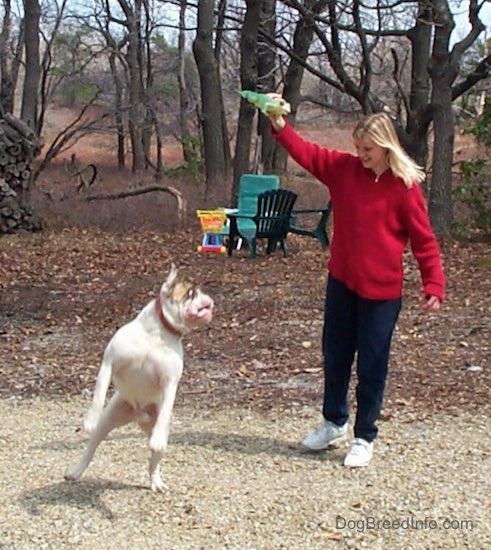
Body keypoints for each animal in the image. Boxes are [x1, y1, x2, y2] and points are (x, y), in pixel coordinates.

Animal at [64, 266, 213, 494]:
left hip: (157, 432)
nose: (209, 300)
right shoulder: (108, 363)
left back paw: (157, 481)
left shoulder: (170, 383)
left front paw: (157, 440)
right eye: (191, 293)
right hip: (107, 422)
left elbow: (167, 406)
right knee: (91, 449)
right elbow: (99, 394)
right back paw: (75, 471)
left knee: (154, 461)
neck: (157, 333)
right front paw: (90, 418)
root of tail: (139, 414)